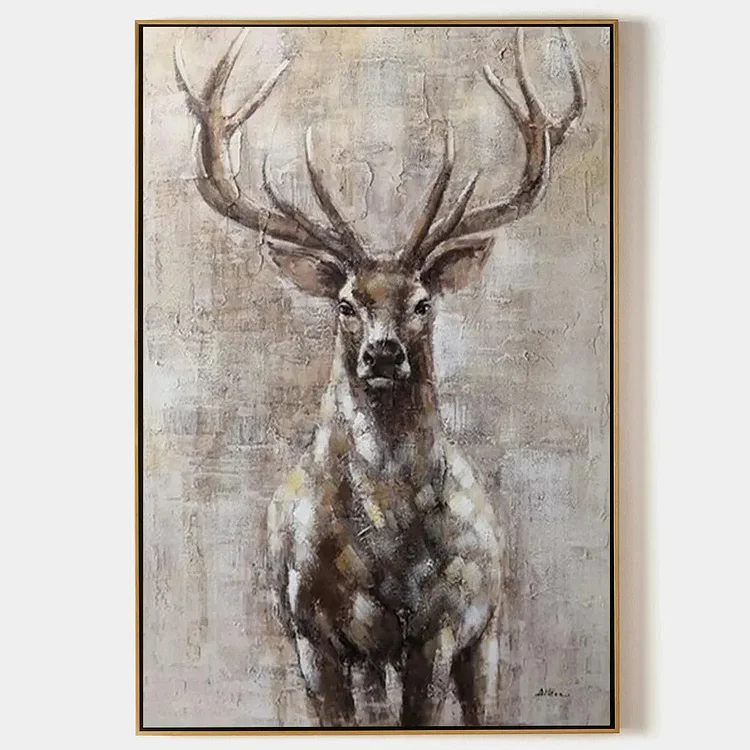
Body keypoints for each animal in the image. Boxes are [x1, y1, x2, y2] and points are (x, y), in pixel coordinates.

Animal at [174, 26, 585, 727]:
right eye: (345, 303)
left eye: (422, 302)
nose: (384, 354)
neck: (381, 544)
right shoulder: (310, 633)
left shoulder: (441, 628)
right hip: (373, 657)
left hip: (488, 629)